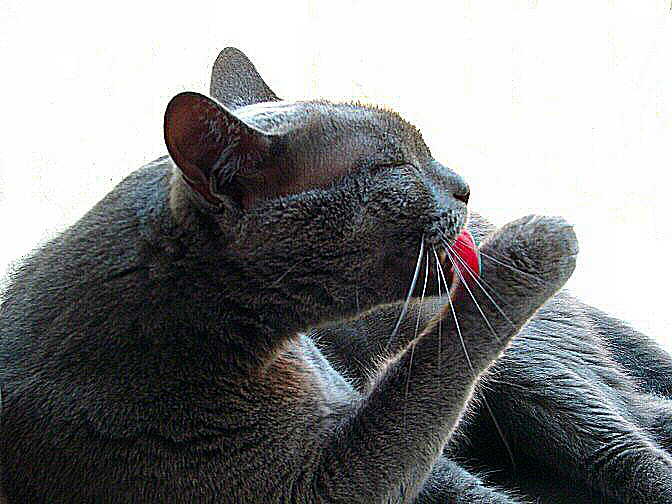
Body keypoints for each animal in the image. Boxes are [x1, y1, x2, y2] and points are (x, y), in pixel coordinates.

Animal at [0, 45, 664, 502]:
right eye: (396, 166)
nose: (466, 186)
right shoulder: (326, 483)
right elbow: (430, 380)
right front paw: (537, 242)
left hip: (540, 376)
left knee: (629, 427)